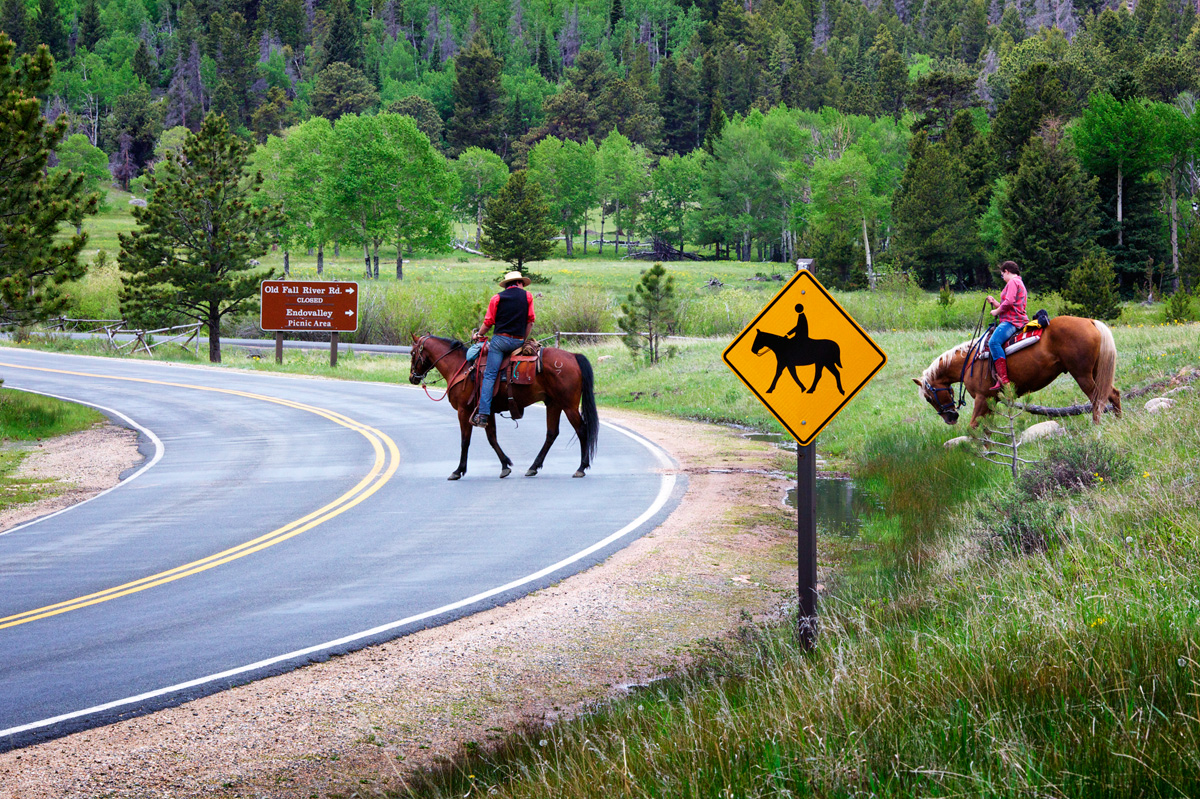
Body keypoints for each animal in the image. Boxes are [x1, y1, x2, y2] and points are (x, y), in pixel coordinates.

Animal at [412, 335, 600, 479]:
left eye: (413, 352)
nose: (412, 377)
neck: (461, 367)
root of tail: (573, 356)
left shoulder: (464, 412)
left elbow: (465, 441)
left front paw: (458, 470)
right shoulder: (487, 412)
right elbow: (492, 438)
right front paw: (505, 465)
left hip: (569, 406)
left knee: (582, 430)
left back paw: (581, 468)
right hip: (554, 404)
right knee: (551, 434)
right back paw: (533, 467)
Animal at [912, 316, 1118, 429]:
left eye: (929, 398)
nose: (950, 418)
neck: (969, 361)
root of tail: (1090, 321)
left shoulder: (982, 398)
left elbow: (974, 425)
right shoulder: (992, 400)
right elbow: (987, 428)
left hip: (1082, 375)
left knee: (1097, 400)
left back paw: (1095, 427)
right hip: (1097, 371)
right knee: (1113, 394)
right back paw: (1119, 420)